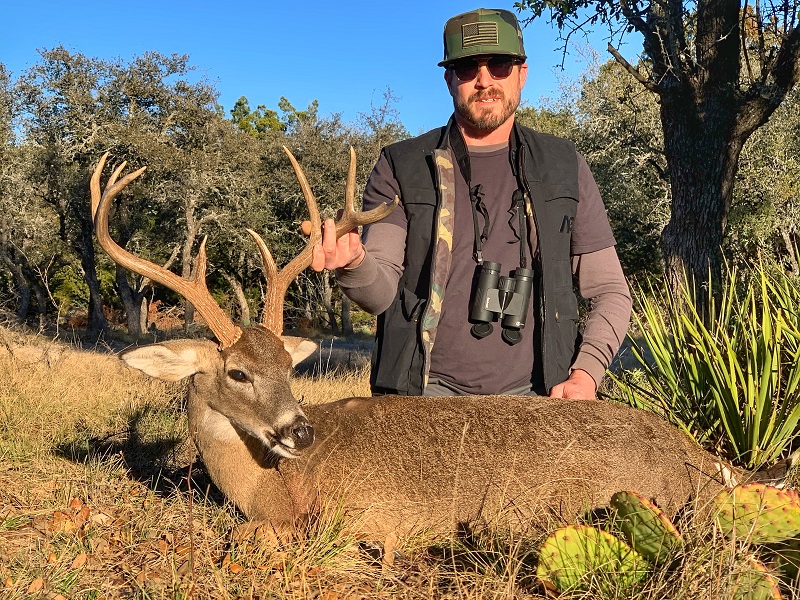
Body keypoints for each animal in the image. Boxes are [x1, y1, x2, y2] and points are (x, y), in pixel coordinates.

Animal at [91, 150, 770, 539]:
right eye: (238, 372)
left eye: (287, 364)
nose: (299, 431)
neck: (261, 486)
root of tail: (703, 461)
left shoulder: (342, 520)